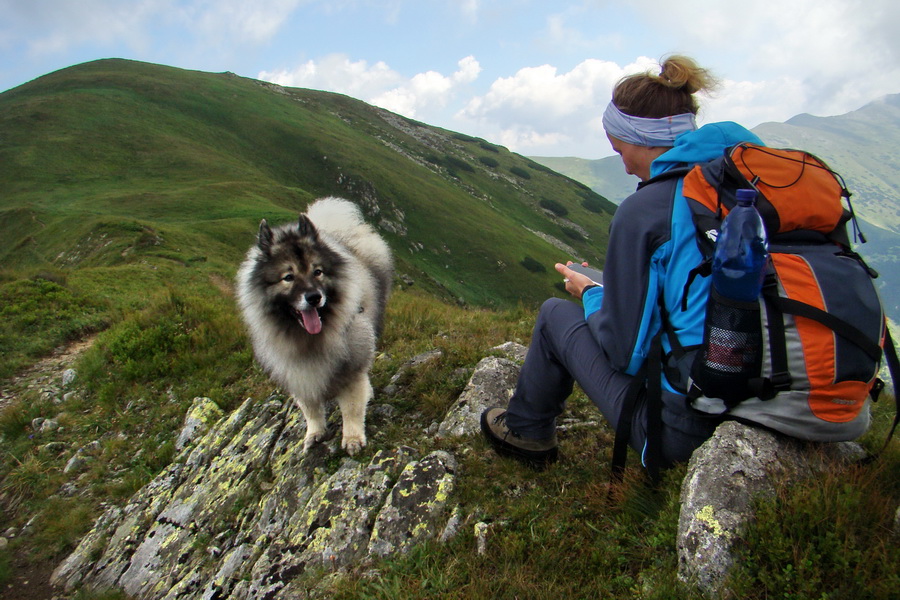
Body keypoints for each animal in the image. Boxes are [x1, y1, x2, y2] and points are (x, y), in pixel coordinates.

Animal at [237, 197, 392, 454]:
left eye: (317, 272)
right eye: (288, 277)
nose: (314, 297)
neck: (311, 339)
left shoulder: (351, 366)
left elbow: (351, 407)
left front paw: (352, 439)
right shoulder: (298, 371)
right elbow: (309, 408)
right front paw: (315, 433)